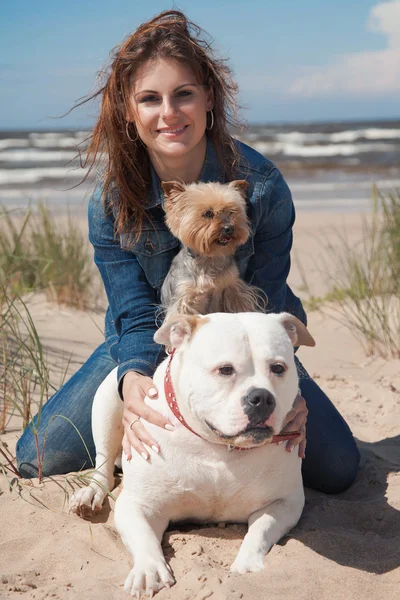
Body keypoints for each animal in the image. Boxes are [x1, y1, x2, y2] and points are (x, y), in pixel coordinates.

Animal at [159, 179, 266, 324]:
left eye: (231, 211)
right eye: (208, 214)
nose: (229, 228)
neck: (210, 257)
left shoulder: (233, 287)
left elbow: (241, 305)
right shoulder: (185, 298)